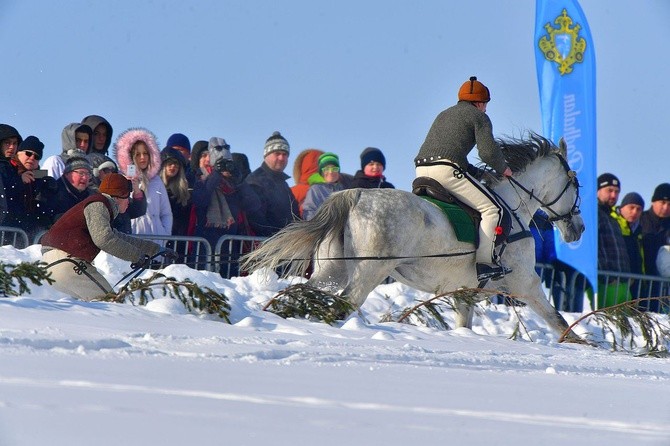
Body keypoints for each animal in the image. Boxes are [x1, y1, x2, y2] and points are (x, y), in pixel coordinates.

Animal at [243, 134, 588, 340]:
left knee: (304, 292)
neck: (513, 205)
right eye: (576, 183)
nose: (579, 229)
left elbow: (464, 324)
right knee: (344, 303)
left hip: (332, 270)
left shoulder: (464, 292)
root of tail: (355, 194)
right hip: (369, 271)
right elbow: (559, 322)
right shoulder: (526, 283)